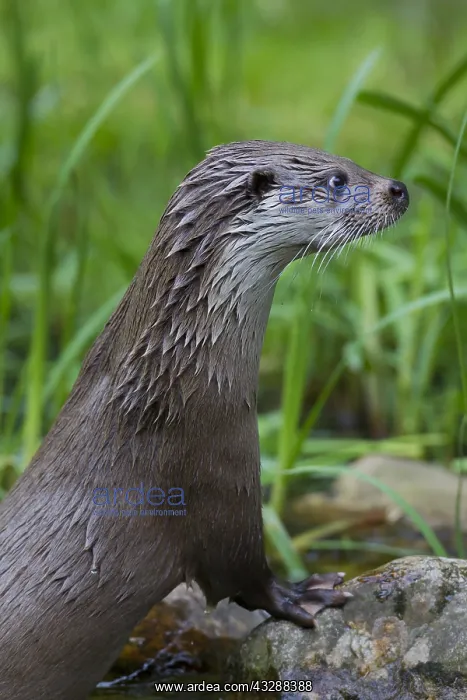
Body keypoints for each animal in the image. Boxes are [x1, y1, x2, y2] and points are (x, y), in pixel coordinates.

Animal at [0, 141, 409, 699]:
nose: (399, 188)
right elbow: (242, 574)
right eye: (337, 180)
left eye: (348, 161)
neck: (170, 387)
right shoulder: (211, 476)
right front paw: (305, 592)